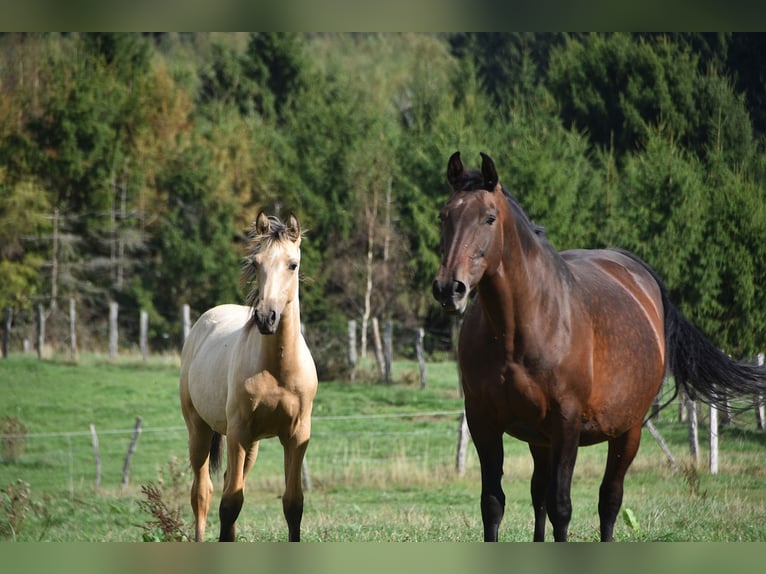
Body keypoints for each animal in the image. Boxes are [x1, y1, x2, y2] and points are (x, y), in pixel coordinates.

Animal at [179, 211, 318, 542]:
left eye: (293, 264)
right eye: (256, 263)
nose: (266, 318)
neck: (277, 370)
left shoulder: (296, 435)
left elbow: (293, 503)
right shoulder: (239, 432)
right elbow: (230, 503)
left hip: (251, 444)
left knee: (228, 481)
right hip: (200, 430)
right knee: (202, 492)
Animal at [432, 151, 766, 542]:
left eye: (489, 217)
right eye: (444, 216)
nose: (449, 288)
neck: (519, 329)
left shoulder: (566, 424)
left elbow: (562, 507)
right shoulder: (484, 422)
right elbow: (494, 504)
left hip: (627, 431)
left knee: (609, 499)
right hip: (540, 440)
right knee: (539, 495)